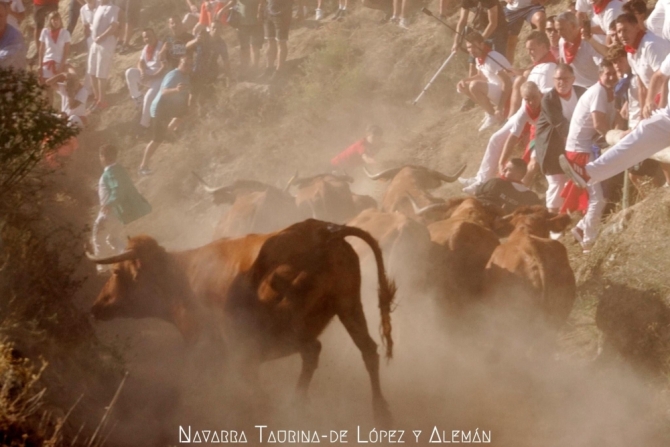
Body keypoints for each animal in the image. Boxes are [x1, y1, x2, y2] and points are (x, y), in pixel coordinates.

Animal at [86, 220, 396, 428]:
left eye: (116, 272)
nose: (96, 307)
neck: (180, 280)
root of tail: (323, 231)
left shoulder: (222, 355)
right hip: (348, 305)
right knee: (366, 351)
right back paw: (378, 414)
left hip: (286, 325)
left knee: (312, 351)